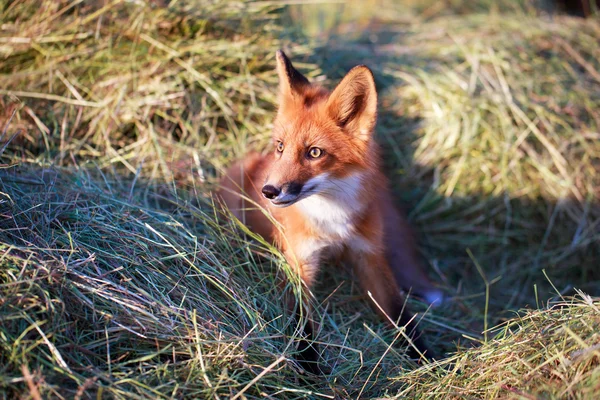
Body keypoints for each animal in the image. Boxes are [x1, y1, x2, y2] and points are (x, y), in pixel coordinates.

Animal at [218, 51, 442, 374]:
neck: (332, 219)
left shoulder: (369, 256)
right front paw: (310, 369)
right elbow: (302, 325)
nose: (269, 191)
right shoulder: (299, 262)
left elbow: (403, 317)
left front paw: (427, 358)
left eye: (314, 152)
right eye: (281, 147)